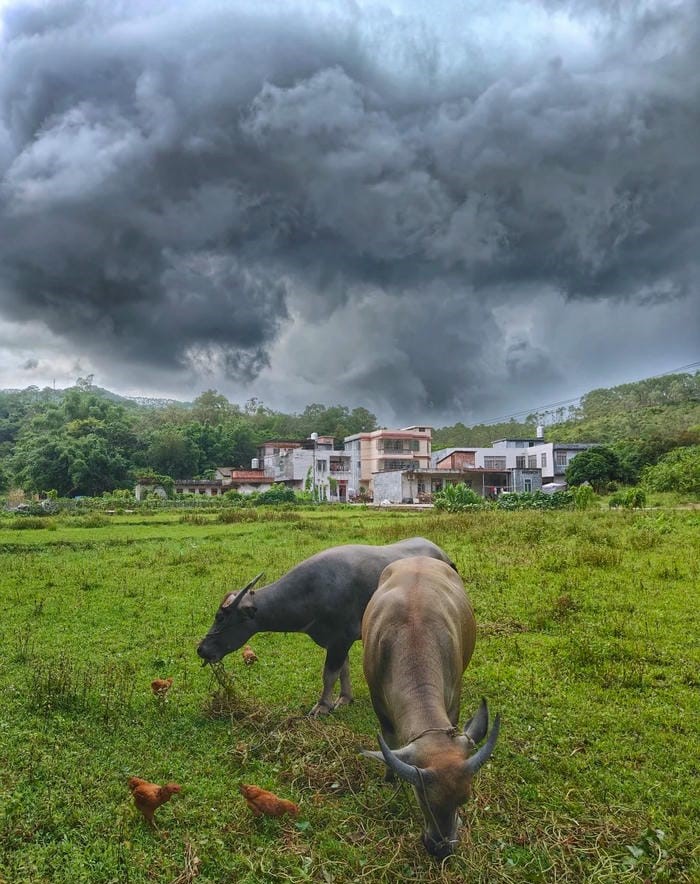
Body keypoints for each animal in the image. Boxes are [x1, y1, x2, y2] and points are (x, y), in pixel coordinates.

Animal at [200, 536, 456, 716]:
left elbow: (329, 674)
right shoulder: (337, 642)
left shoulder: (341, 639)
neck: (310, 593)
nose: (202, 649)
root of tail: (444, 555)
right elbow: (343, 669)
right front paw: (344, 698)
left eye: (221, 617)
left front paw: (322, 706)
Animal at [360, 560, 498, 856]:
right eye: (421, 796)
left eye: (464, 799)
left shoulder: (454, 697)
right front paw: (390, 779)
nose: (441, 848)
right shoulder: (379, 705)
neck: (414, 637)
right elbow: (389, 739)